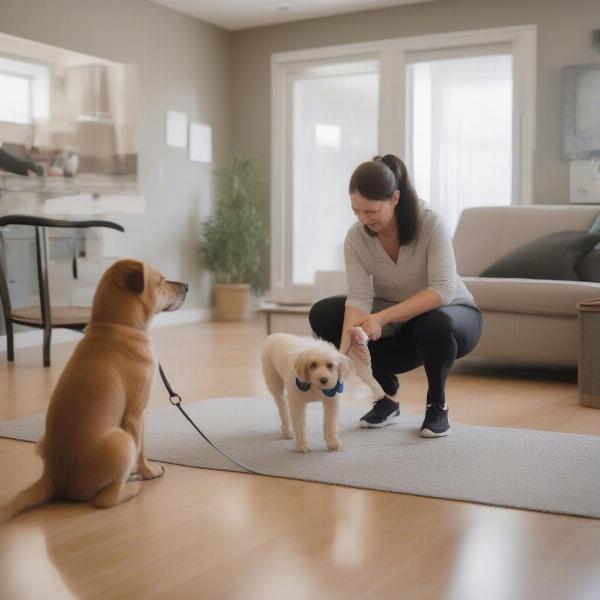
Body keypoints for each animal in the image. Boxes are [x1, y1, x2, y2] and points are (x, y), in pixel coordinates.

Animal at [0, 258, 188, 520]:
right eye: (161, 280)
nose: (188, 286)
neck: (115, 326)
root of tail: (52, 479)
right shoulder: (136, 414)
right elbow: (141, 450)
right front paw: (148, 471)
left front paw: (139, 471)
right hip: (122, 441)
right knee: (105, 500)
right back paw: (131, 488)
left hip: (43, 443)